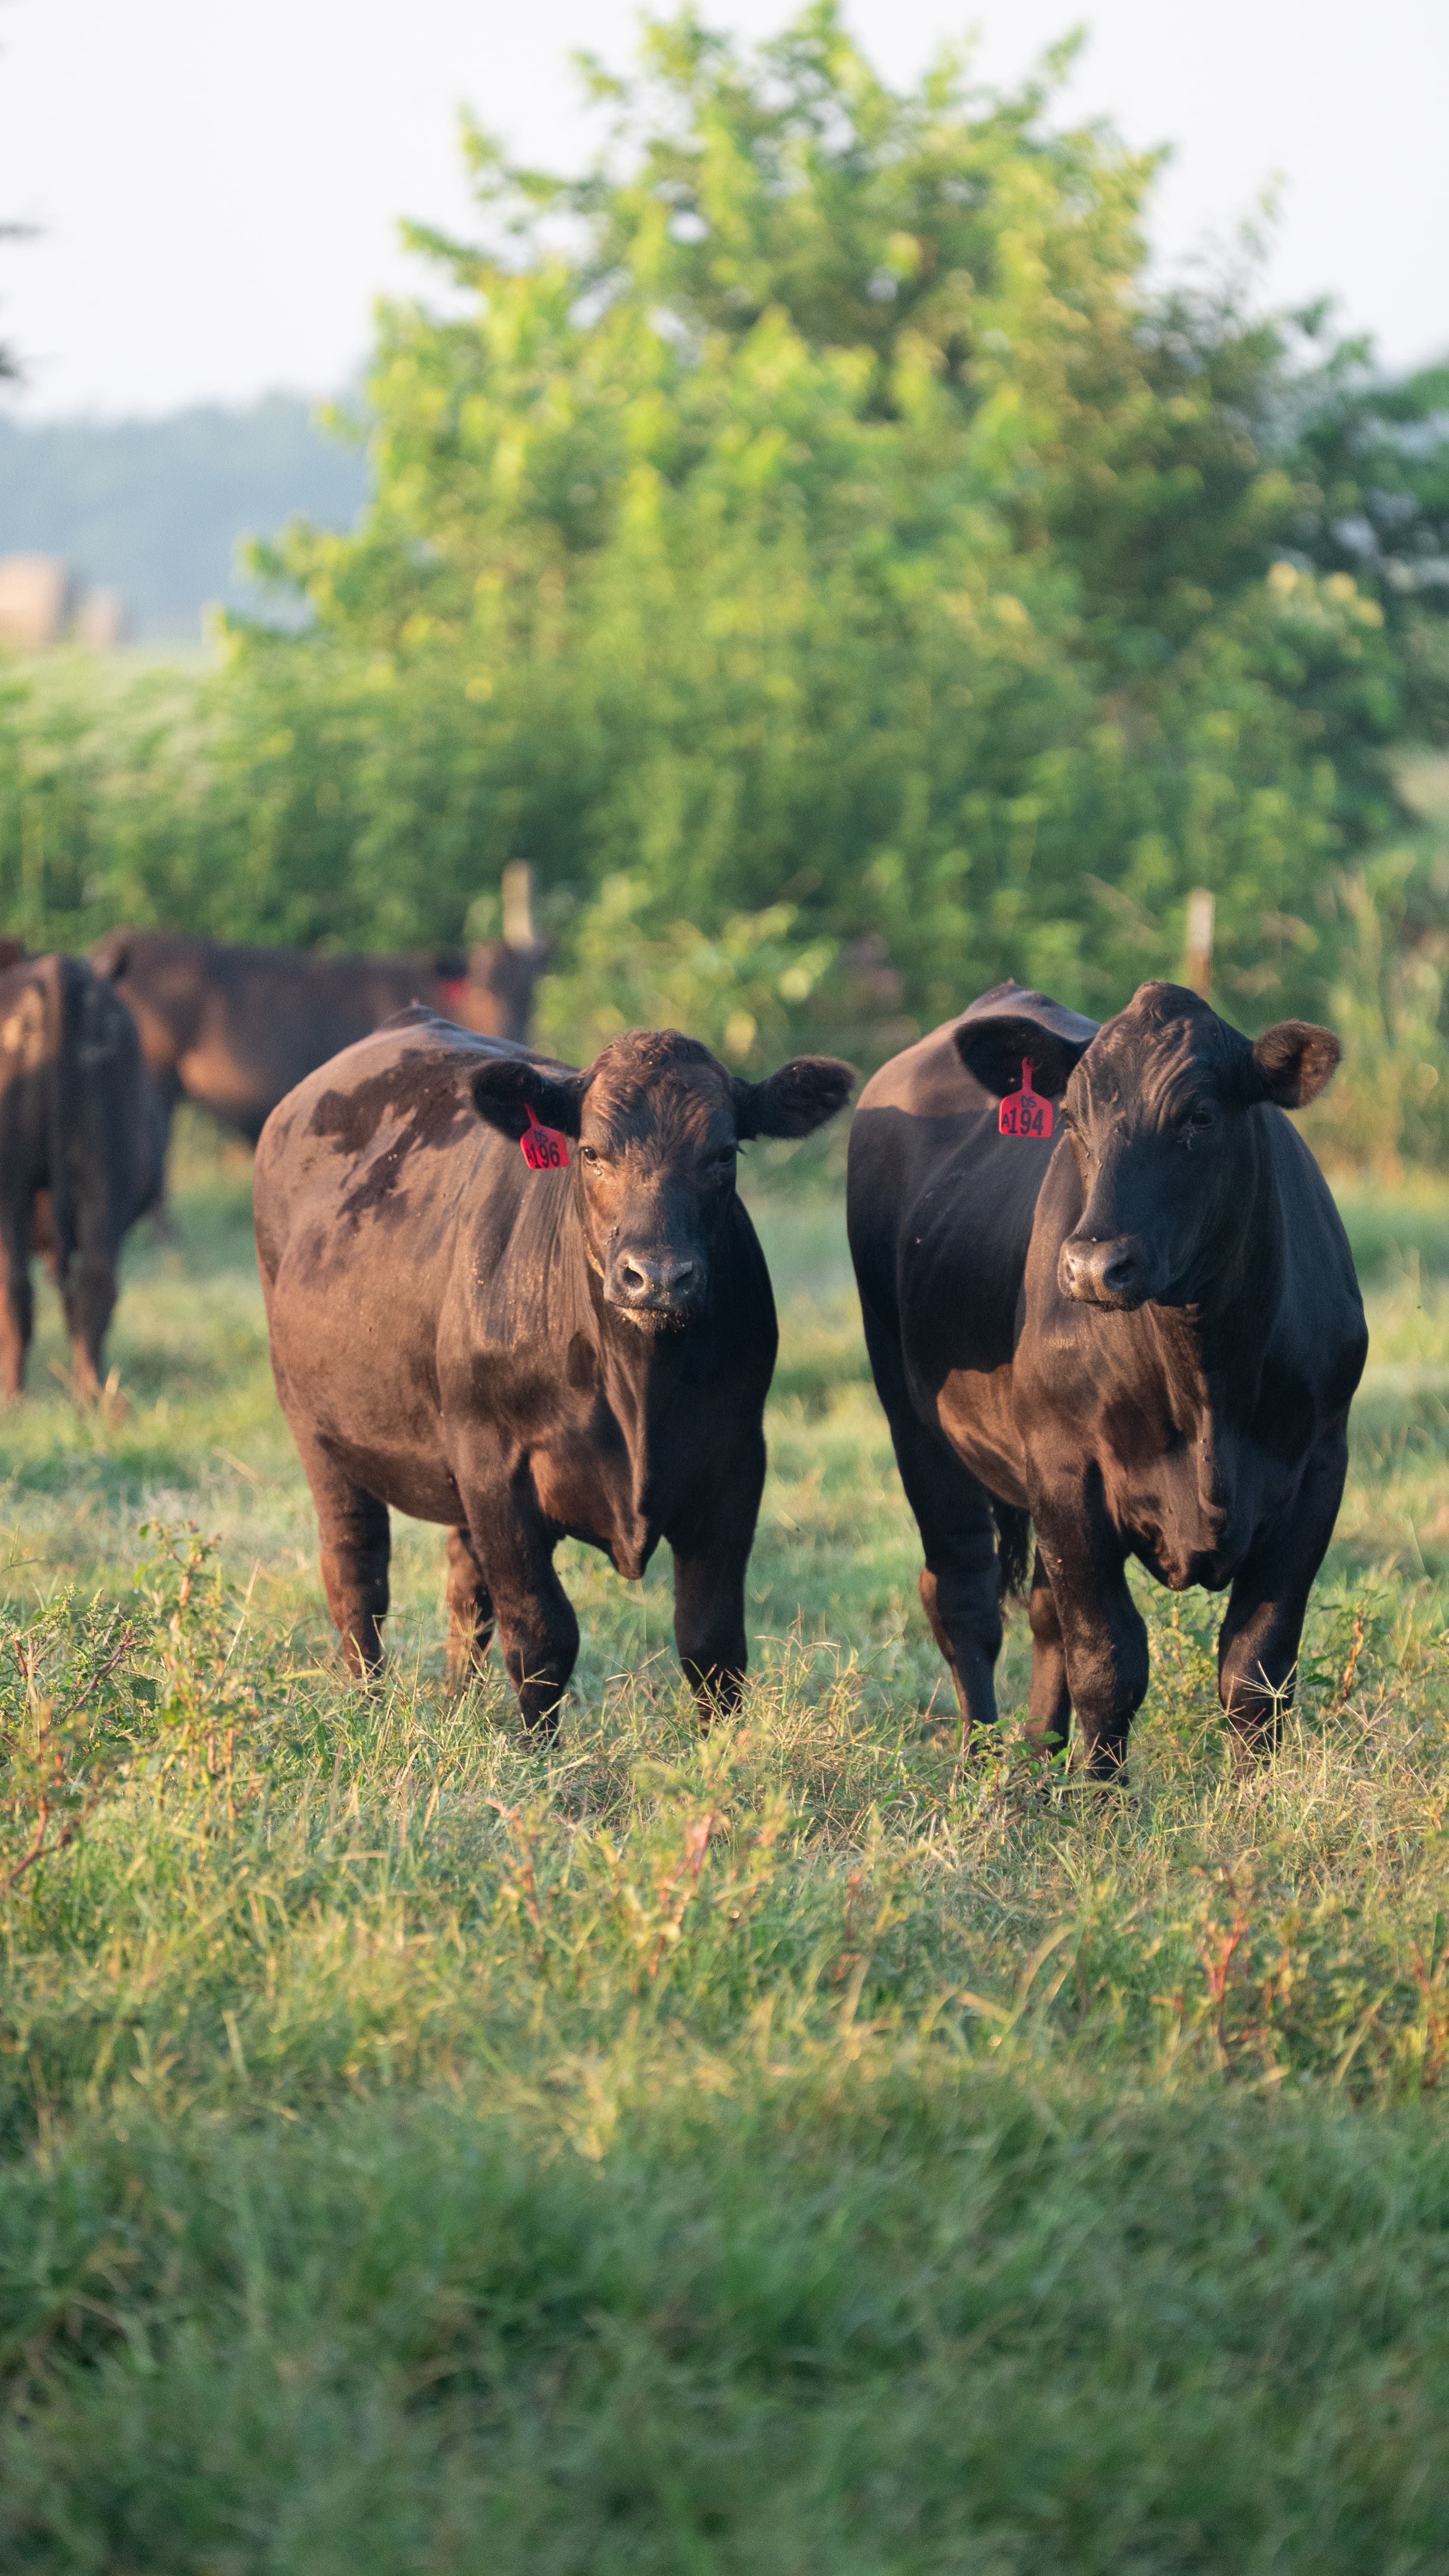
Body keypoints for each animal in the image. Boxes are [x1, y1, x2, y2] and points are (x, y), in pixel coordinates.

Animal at [254, 1011, 854, 1730]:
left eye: (724, 1154)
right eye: (591, 1152)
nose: (658, 1277)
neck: (637, 1387)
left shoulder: (736, 1461)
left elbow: (711, 1645)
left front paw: (723, 1752)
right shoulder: (495, 1467)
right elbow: (542, 1636)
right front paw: (536, 1752)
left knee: (465, 1593)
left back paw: (458, 1708)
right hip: (316, 1431)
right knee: (357, 1577)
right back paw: (370, 1709)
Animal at [847, 979, 1367, 1779]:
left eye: (1200, 1115)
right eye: (1071, 1119)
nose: (1094, 1266)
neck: (1206, 1377)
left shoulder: (1318, 1468)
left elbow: (1257, 1668)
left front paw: (1260, 1792)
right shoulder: (1069, 1471)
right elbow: (1108, 1662)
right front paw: (1100, 1796)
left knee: (1040, 1614)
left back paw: (1037, 1761)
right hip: (913, 1419)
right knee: (963, 1597)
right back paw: (981, 1767)